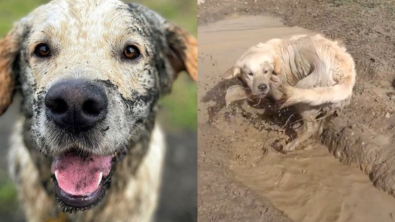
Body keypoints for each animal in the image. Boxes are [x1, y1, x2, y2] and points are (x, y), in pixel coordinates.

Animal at [227, 34, 358, 152]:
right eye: (250, 73)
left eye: (266, 71)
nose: (262, 87)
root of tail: (346, 74)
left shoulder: (276, 89)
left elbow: (245, 92)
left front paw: (231, 97)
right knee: (319, 127)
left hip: (303, 90)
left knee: (311, 127)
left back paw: (290, 145)